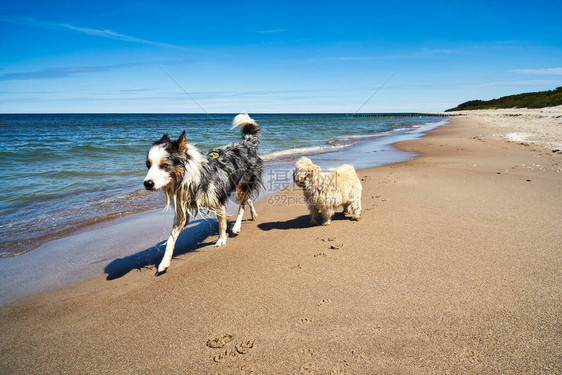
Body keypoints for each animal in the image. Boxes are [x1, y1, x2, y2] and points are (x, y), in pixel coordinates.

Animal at [142, 113, 260, 274]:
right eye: (148, 164)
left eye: (165, 165)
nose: (147, 184)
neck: (186, 177)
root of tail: (246, 144)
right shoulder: (182, 210)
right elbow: (171, 238)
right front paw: (164, 262)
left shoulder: (217, 200)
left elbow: (222, 223)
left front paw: (221, 239)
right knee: (249, 199)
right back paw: (253, 214)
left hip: (242, 184)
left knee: (242, 204)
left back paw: (236, 227)